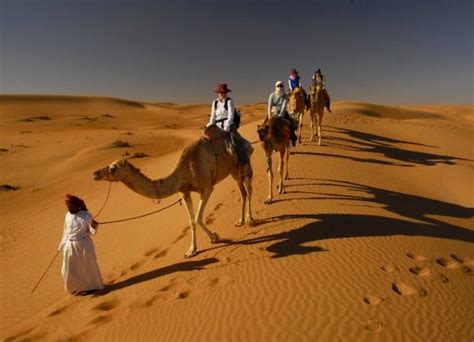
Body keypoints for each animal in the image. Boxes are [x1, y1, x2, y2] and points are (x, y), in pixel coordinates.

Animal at [93, 125, 256, 256]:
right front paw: (192, 250)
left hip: (244, 164)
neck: (185, 170)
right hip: (233, 171)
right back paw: (240, 221)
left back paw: (250, 219)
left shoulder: (207, 187)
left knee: (249, 189)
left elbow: (198, 217)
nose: (95, 173)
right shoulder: (184, 192)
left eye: (113, 168)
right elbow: (191, 221)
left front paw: (215, 237)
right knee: (243, 192)